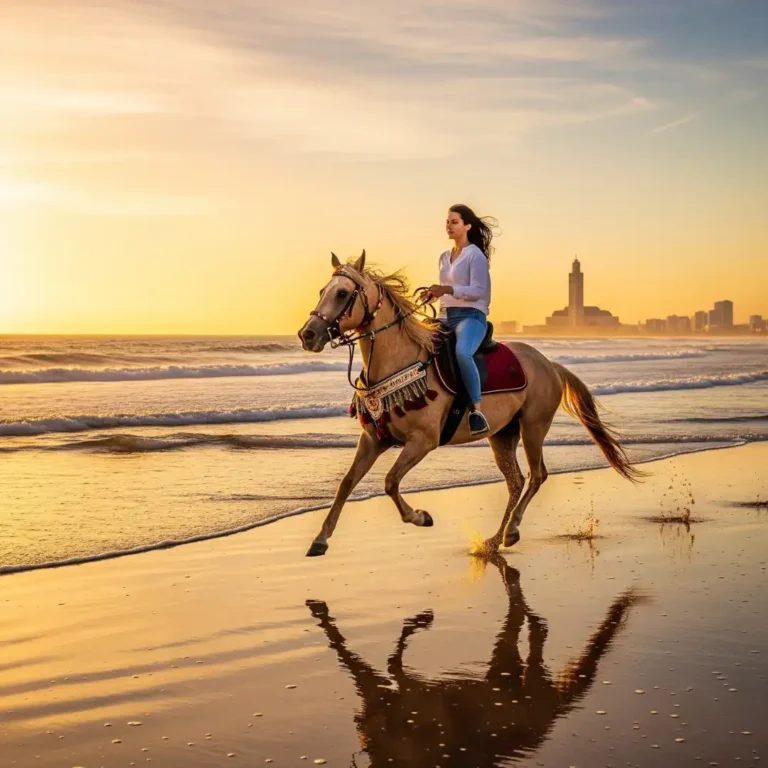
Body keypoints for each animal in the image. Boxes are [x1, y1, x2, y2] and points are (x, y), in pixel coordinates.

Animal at [298, 250, 642, 558]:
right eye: (322, 291)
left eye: (343, 293)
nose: (307, 334)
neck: (401, 361)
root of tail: (550, 365)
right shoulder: (374, 439)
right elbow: (346, 483)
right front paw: (320, 540)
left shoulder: (422, 441)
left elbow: (390, 482)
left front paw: (421, 517)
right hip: (502, 435)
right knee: (516, 482)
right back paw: (494, 540)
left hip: (533, 427)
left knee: (537, 476)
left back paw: (511, 531)